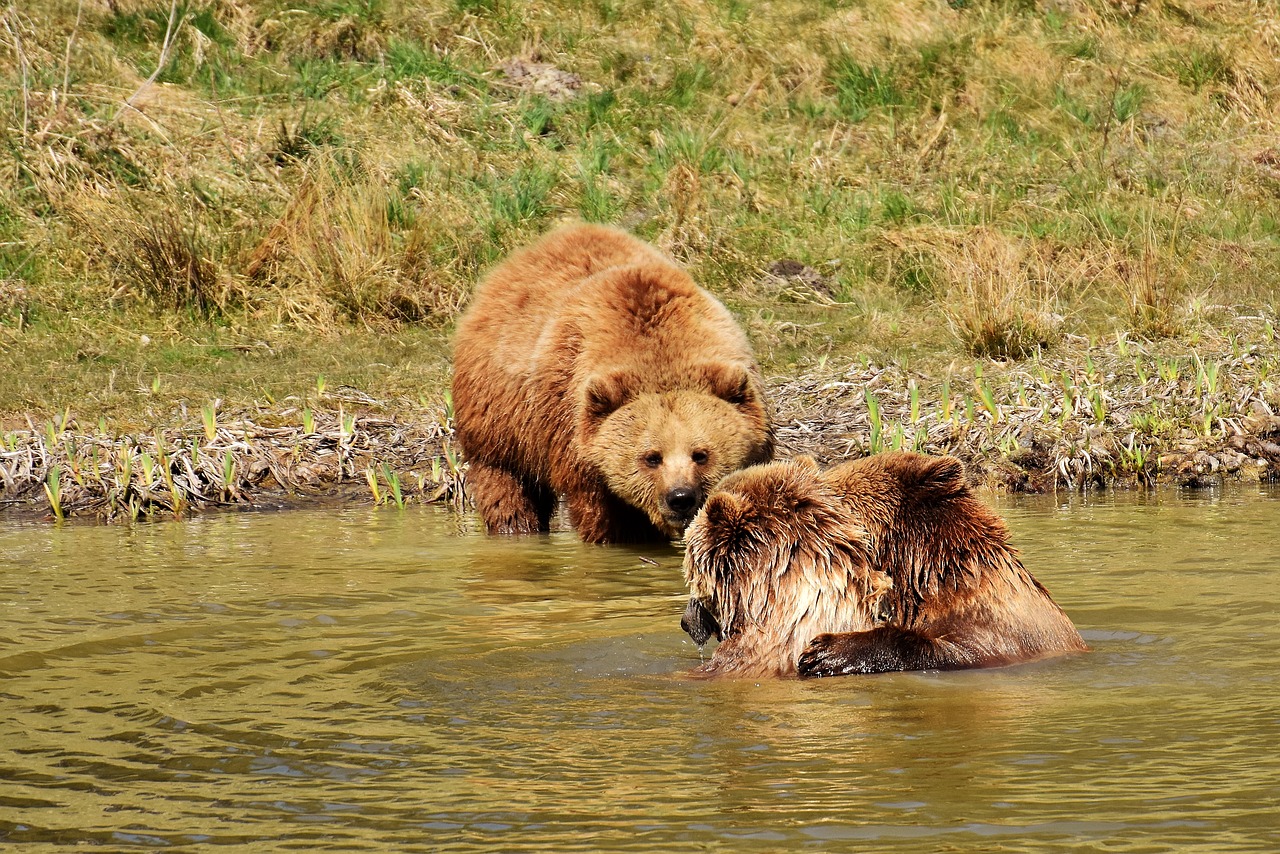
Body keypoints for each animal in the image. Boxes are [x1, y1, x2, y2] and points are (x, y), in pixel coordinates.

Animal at [453, 224, 768, 545]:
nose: (680, 497)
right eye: (651, 457)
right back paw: (515, 529)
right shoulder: (574, 433)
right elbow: (603, 518)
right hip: (501, 419)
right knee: (506, 485)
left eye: (701, 454)